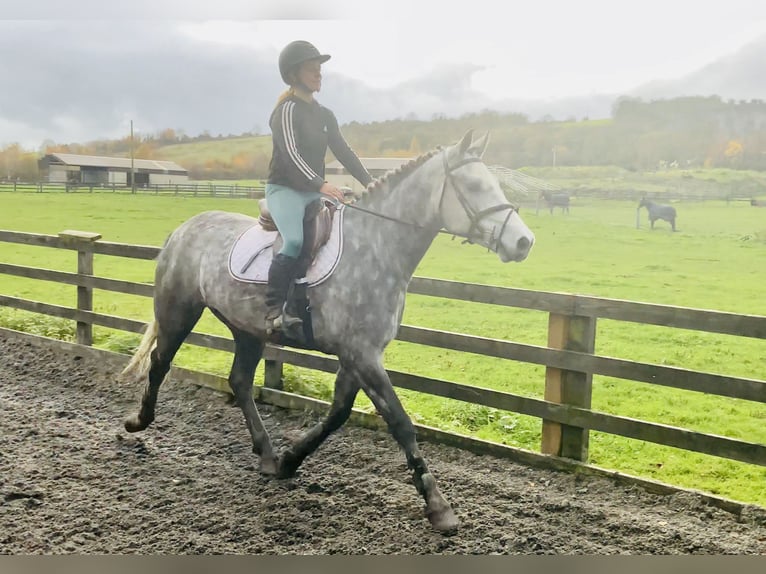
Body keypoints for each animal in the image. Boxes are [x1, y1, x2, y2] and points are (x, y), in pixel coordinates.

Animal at [119, 130, 535, 533]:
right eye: (474, 185)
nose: (524, 242)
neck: (376, 248)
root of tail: (183, 230)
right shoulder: (362, 354)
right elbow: (400, 422)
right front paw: (439, 507)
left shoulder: (358, 354)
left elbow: (338, 413)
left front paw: (290, 460)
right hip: (178, 311)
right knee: (160, 361)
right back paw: (138, 421)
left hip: (246, 329)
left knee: (239, 381)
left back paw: (267, 455)